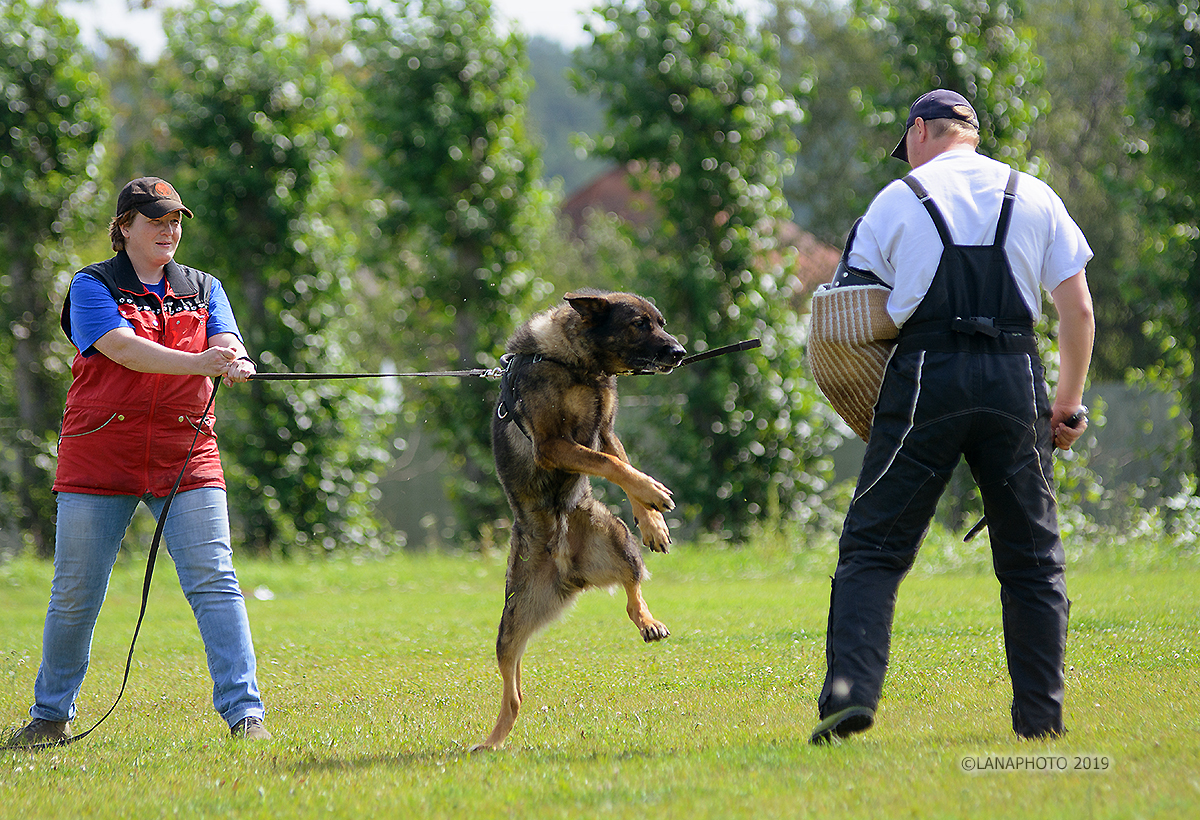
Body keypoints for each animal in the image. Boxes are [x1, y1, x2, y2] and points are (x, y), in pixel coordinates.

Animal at [472, 291, 691, 753]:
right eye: (640, 324)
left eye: (661, 322)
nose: (680, 352)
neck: (575, 365)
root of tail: (569, 571)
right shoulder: (554, 444)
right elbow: (611, 464)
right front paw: (653, 493)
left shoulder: (604, 431)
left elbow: (620, 462)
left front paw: (652, 519)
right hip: (511, 623)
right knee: (513, 692)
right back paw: (493, 739)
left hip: (617, 540)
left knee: (631, 588)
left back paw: (647, 621)